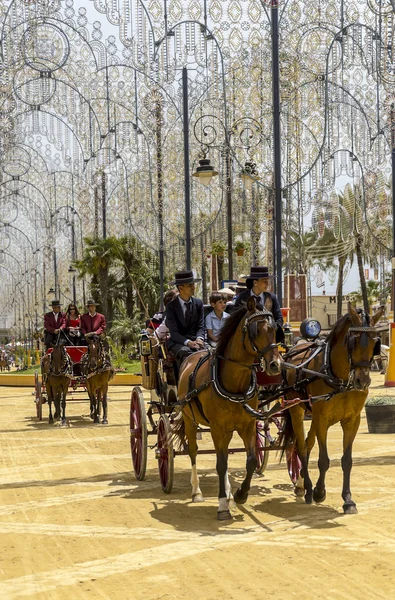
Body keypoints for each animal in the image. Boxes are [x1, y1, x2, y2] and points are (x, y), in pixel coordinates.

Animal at [173, 296, 282, 520]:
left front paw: (240, 494)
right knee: (194, 452)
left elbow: (250, 461)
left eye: (275, 329)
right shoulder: (217, 428)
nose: (275, 364)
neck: (234, 383)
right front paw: (223, 504)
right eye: (256, 330)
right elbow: (220, 464)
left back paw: (230, 493)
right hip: (189, 419)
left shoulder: (247, 425)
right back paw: (197, 492)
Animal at [284, 302, 386, 512]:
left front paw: (348, 500)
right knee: (301, 446)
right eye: (354, 340)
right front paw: (319, 491)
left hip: (312, 414)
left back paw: (301, 484)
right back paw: (307, 488)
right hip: (296, 408)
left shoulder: (352, 421)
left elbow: (347, 461)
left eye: (375, 342)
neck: (340, 378)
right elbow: (323, 460)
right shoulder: (322, 419)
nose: (362, 381)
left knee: (308, 443)